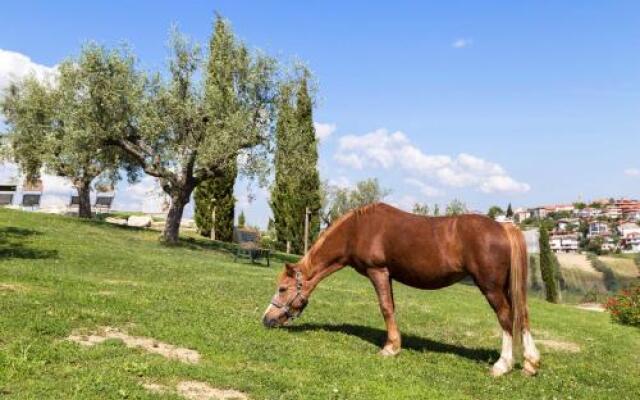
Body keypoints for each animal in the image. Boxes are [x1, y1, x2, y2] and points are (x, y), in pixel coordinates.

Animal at [262, 203, 536, 376]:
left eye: (282, 289)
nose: (266, 319)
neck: (357, 230)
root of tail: (504, 227)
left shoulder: (379, 272)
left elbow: (386, 308)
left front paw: (390, 348)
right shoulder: (388, 276)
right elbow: (391, 307)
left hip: (491, 287)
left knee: (506, 317)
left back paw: (502, 365)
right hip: (507, 287)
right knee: (522, 316)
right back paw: (531, 364)